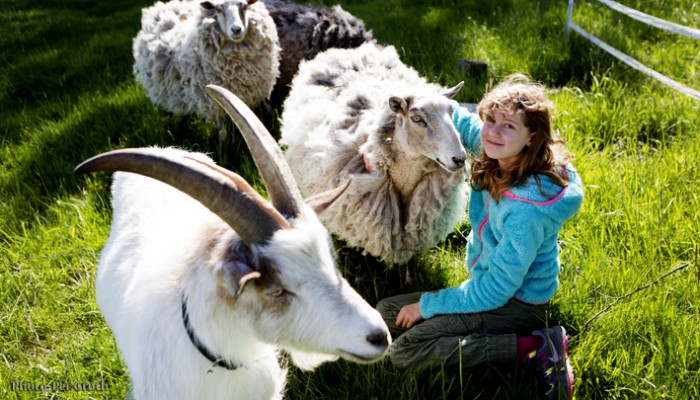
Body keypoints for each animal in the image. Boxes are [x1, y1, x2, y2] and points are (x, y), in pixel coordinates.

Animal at [132, 0, 280, 135]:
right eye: (218, 9)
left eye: (244, 6)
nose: (236, 30)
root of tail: (164, 6)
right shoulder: (213, 101)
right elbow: (223, 133)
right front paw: (224, 146)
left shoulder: (260, 91)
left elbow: (266, 115)